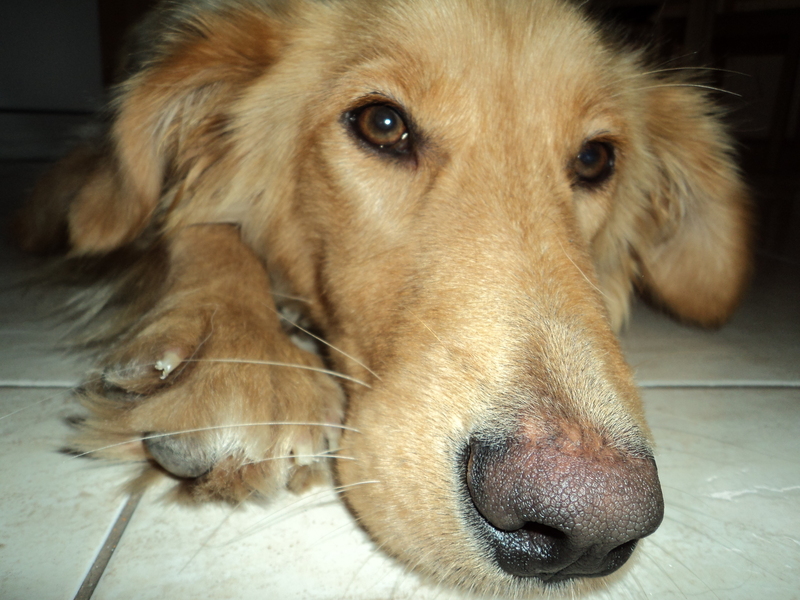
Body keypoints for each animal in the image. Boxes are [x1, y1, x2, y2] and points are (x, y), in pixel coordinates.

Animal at [14, 0, 751, 595]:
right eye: (383, 123)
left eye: (597, 159)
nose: (587, 527)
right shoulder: (77, 185)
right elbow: (184, 218)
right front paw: (233, 354)